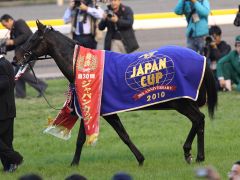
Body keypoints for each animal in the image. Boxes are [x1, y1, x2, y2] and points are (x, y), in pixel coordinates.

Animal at [14, 20, 218, 166]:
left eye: (33, 39)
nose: (16, 58)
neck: (82, 67)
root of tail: (201, 57)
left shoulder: (104, 110)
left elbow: (122, 135)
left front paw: (140, 159)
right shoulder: (89, 108)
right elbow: (83, 139)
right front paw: (74, 164)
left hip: (181, 101)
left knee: (198, 119)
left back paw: (192, 153)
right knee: (198, 120)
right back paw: (194, 154)